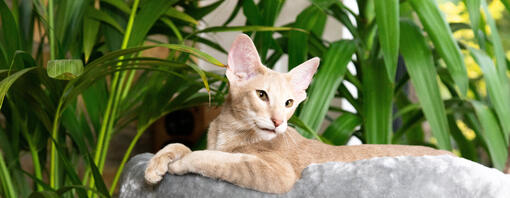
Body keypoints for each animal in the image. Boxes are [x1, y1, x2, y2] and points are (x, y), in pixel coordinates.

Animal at [143, 33, 450, 193]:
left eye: (289, 103)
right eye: (262, 95)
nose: (278, 122)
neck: (228, 133)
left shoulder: (277, 174)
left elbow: (217, 159)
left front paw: (182, 162)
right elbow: (179, 144)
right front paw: (156, 164)